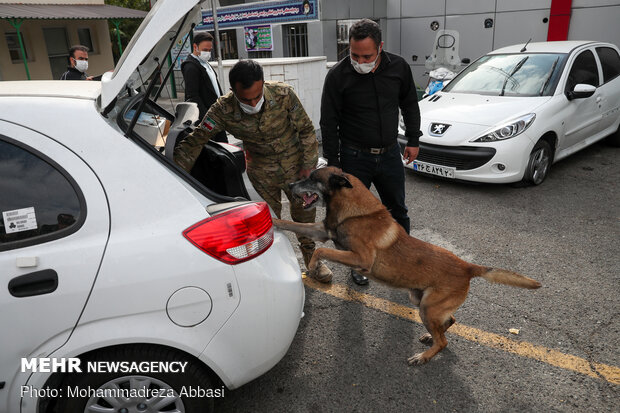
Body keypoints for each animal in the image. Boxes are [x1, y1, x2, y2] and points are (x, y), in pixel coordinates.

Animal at [274, 166, 540, 366]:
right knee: (449, 322)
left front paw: (314, 265)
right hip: (421, 301)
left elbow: (321, 250)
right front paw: (272, 221)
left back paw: (424, 356)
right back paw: (430, 339)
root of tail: (467, 266)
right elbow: (293, 224)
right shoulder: (321, 231)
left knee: (444, 341)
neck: (355, 212)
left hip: (427, 308)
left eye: (311, 178)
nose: (289, 184)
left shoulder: (360, 258)